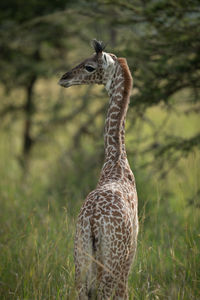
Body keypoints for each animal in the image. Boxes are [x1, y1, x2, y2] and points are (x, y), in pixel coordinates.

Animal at [58, 40, 138, 300]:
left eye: (89, 67)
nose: (64, 78)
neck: (116, 162)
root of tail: (93, 219)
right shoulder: (130, 256)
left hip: (80, 257)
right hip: (112, 262)